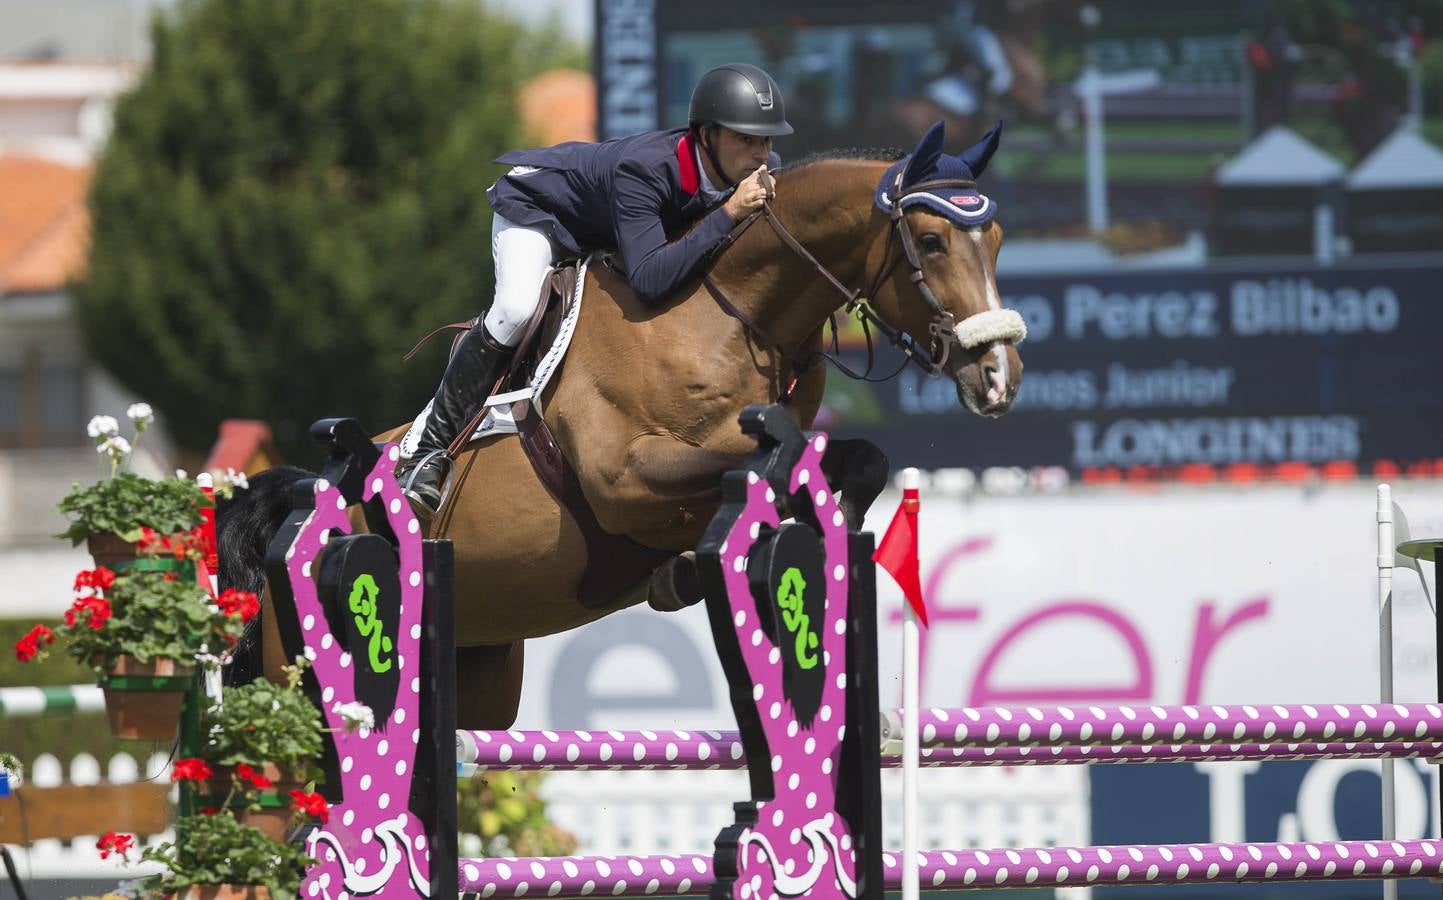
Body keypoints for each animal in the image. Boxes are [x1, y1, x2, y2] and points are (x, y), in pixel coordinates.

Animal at [216, 119, 1027, 732]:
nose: (999, 376)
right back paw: (418, 473)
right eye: (930, 242)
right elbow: (762, 463)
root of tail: (300, 495)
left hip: (477, 674)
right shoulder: (624, 477)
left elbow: (854, 463)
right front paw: (702, 567)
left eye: (996, 241)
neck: (734, 318)